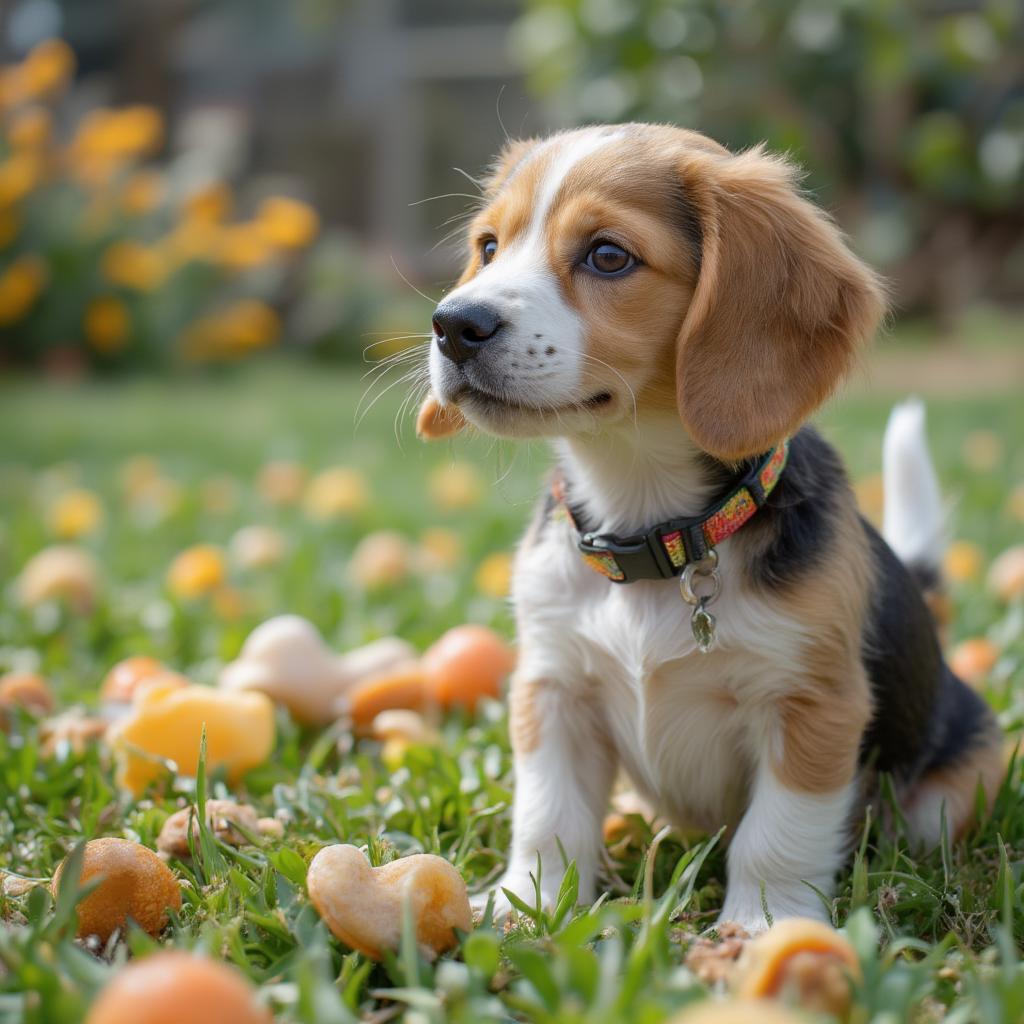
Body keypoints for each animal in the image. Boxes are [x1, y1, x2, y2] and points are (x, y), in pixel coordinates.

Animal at [415, 123, 999, 933]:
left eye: (608, 255)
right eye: (490, 245)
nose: (453, 325)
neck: (646, 522)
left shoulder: (811, 704)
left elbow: (776, 833)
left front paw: (758, 926)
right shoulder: (554, 689)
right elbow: (548, 818)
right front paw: (523, 908)